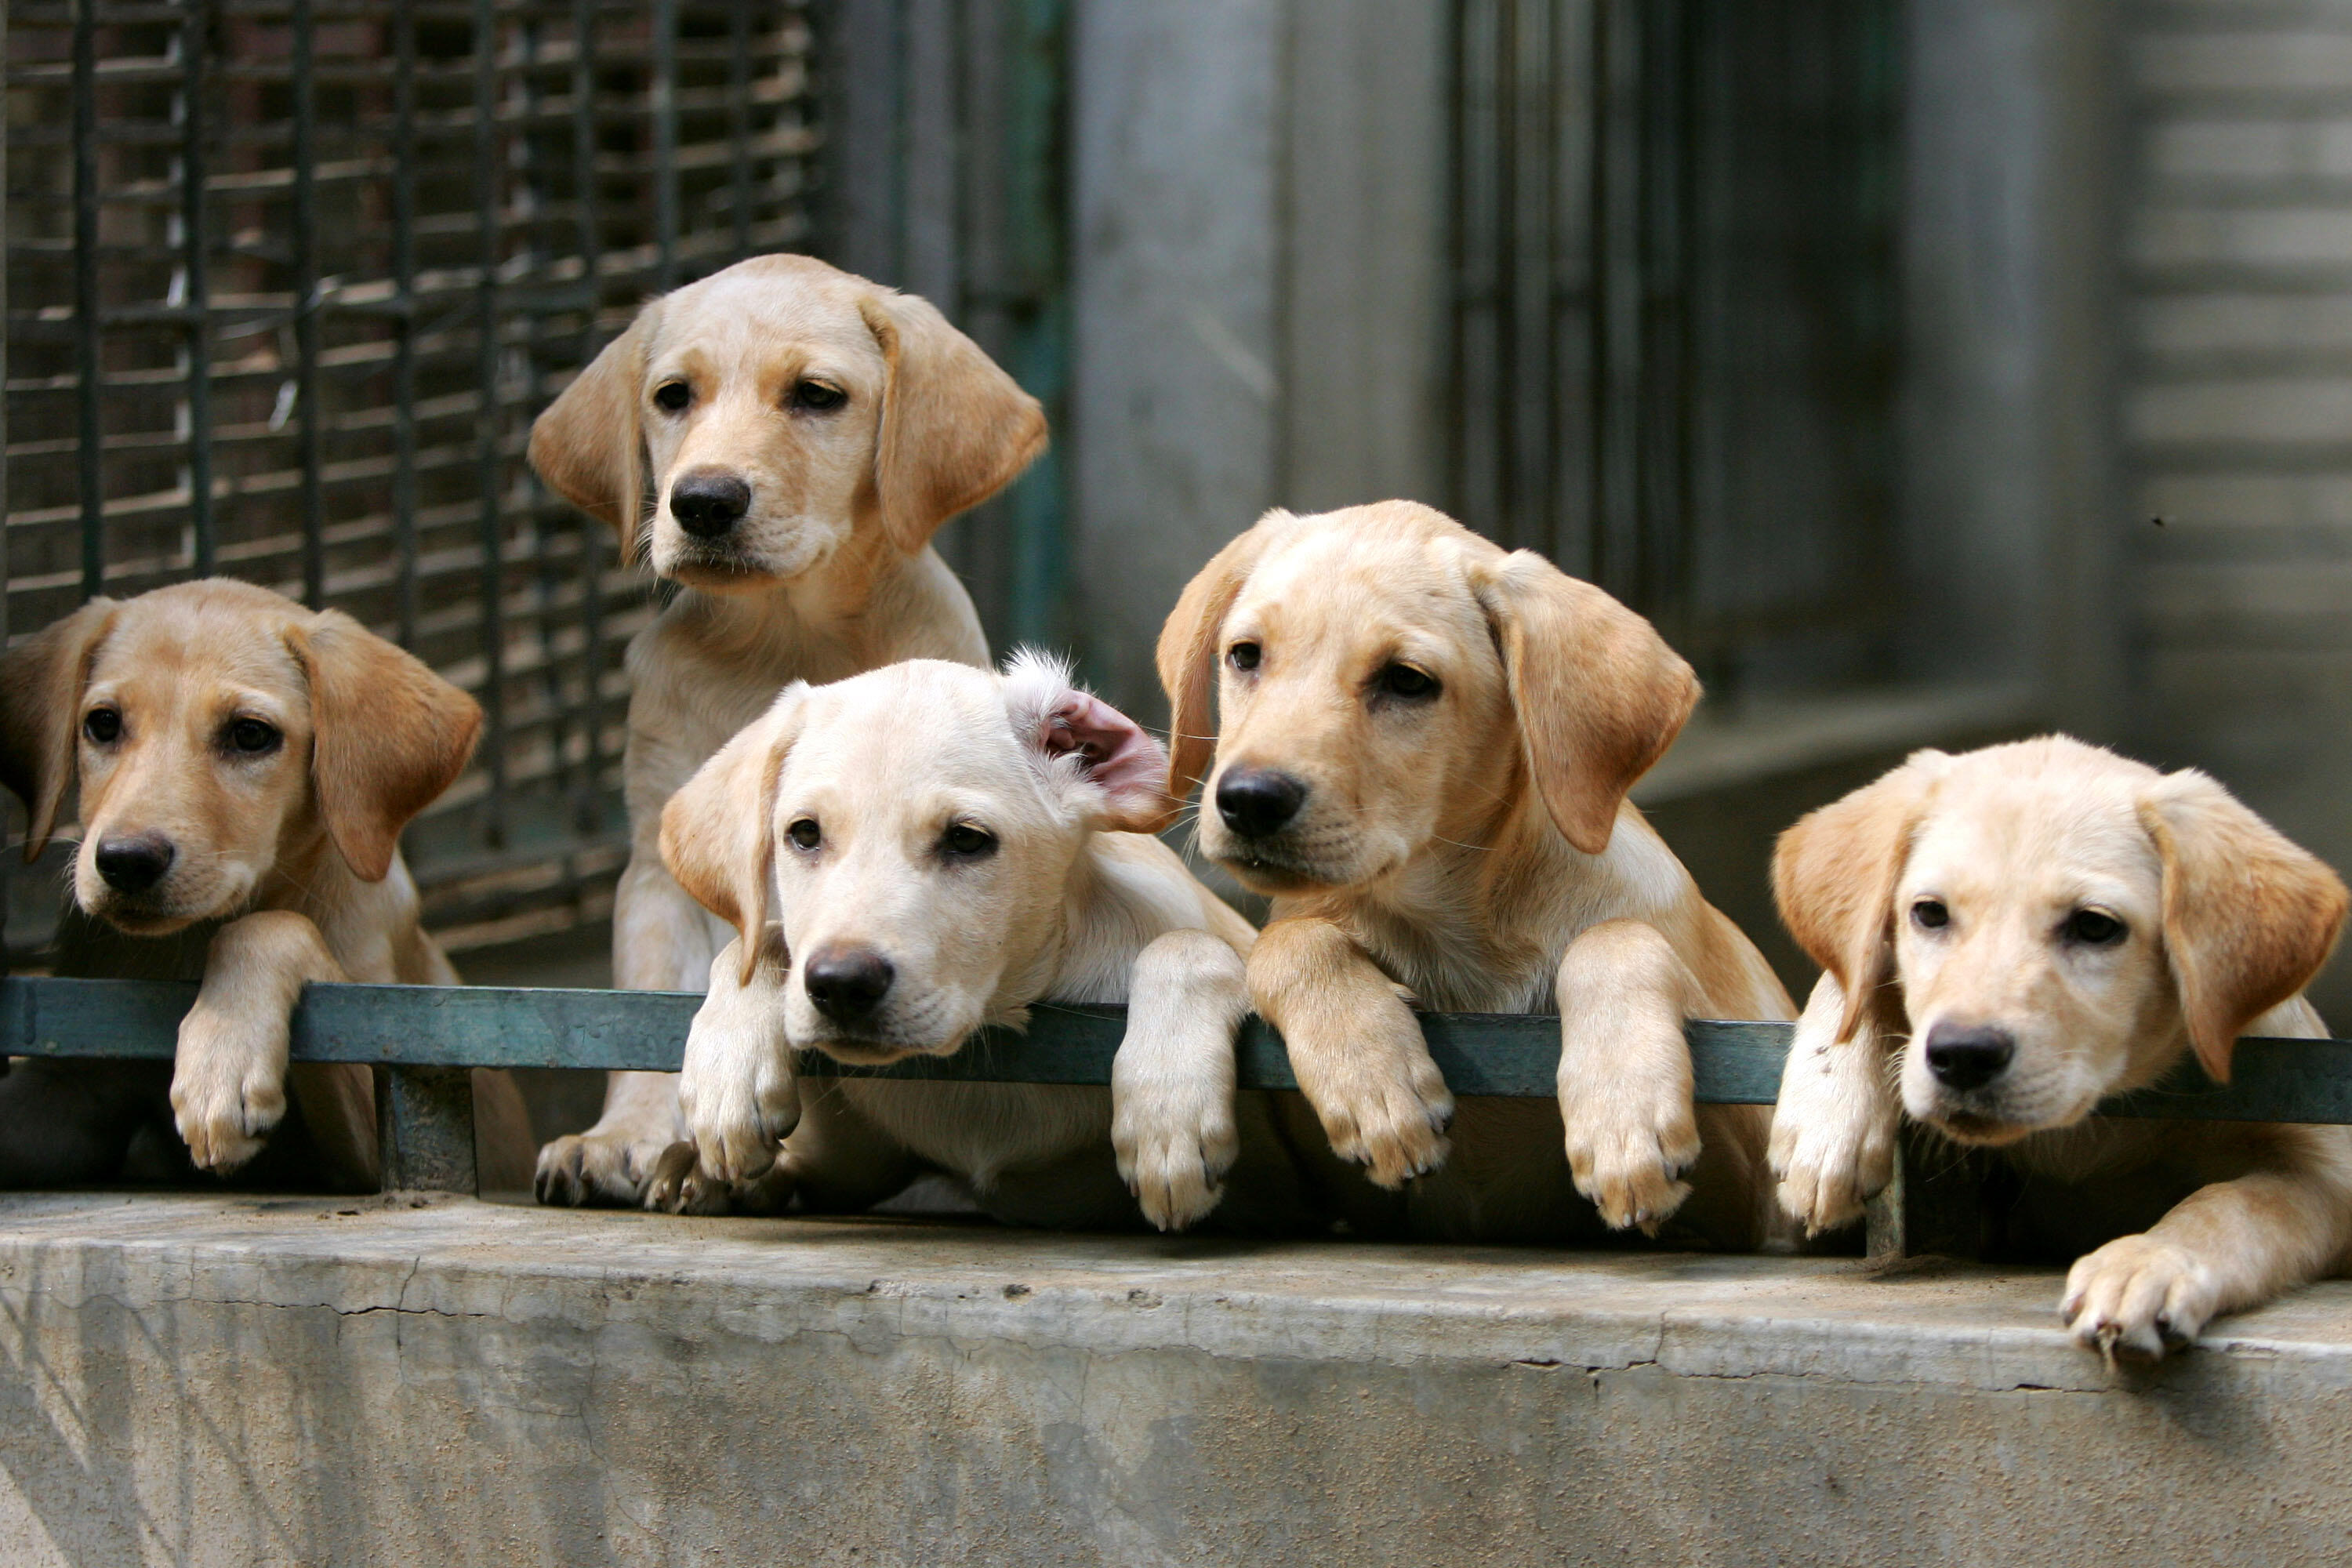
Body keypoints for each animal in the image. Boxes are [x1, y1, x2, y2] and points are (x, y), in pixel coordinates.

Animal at [0, 583, 534, 1194]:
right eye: (103, 724)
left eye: (250, 734)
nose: (127, 862)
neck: (186, 945)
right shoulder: (70, 1088)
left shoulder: (384, 1112)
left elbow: (270, 927)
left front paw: (221, 1059)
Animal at [539, 251, 1054, 1213]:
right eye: (673, 397)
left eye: (816, 396)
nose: (702, 501)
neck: (782, 633)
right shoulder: (657, 865)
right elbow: (644, 1002)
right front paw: (622, 1135)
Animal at [640, 658, 1327, 1232]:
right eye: (803, 834)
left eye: (967, 840)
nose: (840, 986)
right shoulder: (839, 1168)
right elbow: (763, 939)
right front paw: (728, 1079)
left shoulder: (1286, 1195)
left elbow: (1188, 944)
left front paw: (1167, 1113)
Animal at [1167, 503, 1788, 1250]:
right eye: (1246, 655)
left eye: (1408, 681)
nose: (1250, 801)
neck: (1451, 930)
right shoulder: (1322, 1201)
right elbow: (1288, 942)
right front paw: (1374, 1079)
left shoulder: (1751, 1192)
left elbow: (1613, 939)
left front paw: (1625, 1118)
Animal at [1778, 738, 2352, 1363]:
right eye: (1929, 913)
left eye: (2095, 927)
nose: (1963, 1056)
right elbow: (1859, 971)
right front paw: (1829, 1114)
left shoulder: (2327, 1172)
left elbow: (2227, 1206)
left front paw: (2146, 1263)